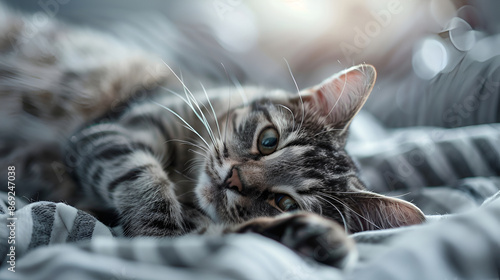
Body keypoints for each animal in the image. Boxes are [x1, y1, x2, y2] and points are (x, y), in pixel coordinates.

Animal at [64, 64, 424, 270]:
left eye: (285, 203)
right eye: (268, 141)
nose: (233, 180)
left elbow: (220, 236)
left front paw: (314, 238)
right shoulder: (113, 132)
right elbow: (142, 177)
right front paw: (156, 231)